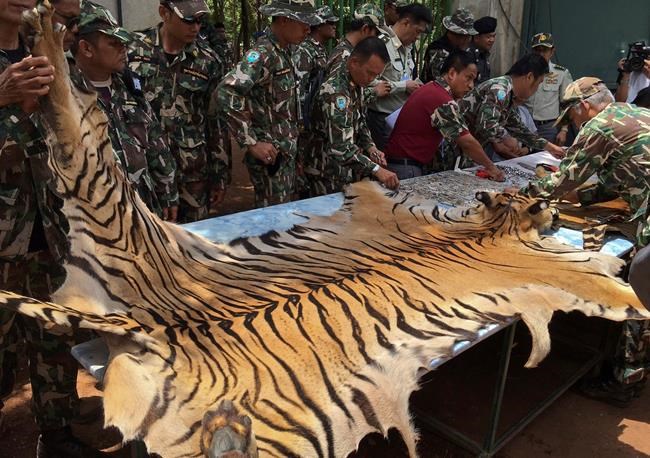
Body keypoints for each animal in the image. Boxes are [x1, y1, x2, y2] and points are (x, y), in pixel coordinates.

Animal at [1, 3, 649, 458]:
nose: (535, 196)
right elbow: (613, 287)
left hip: (129, 238)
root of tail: (139, 323)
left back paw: (43, 43)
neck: (488, 222)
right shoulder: (559, 267)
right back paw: (43, 44)